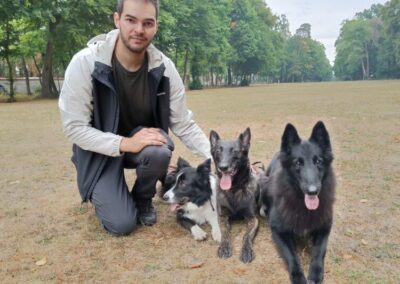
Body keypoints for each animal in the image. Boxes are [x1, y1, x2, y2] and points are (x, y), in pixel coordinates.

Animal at [209, 127, 260, 262]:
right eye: (218, 151)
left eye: (235, 151)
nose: (223, 167)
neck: (234, 189)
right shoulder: (222, 217)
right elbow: (225, 234)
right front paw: (224, 247)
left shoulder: (252, 219)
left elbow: (246, 236)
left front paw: (246, 250)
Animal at [260, 121, 336, 284]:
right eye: (297, 163)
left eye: (318, 161)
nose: (312, 191)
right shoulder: (279, 231)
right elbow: (292, 255)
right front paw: (298, 275)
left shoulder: (325, 227)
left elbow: (319, 251)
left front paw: (315, 272)